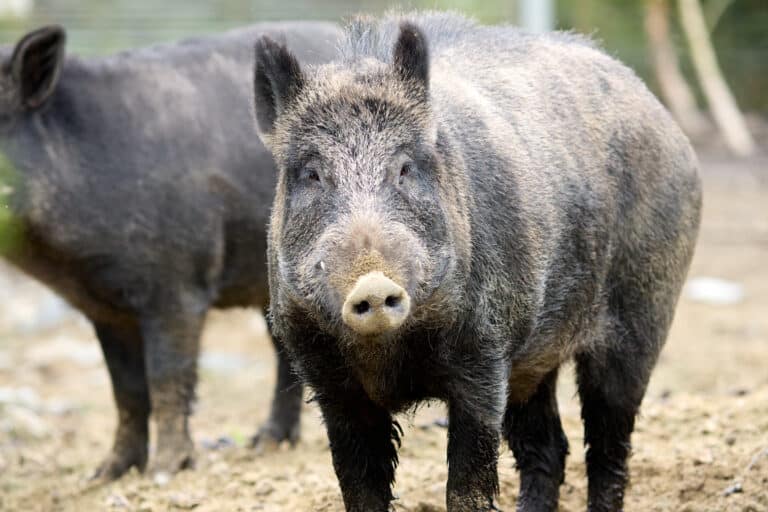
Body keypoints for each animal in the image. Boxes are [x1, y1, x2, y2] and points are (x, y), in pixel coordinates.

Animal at [0, 22, 340, 480]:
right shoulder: (105, 309)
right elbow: (126, 390)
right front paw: (106, 473)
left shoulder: (176, 283)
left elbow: (166, 376)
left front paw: (165, 470)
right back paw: (264, 443)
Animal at [252, 12, 702, 512]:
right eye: (311, 174)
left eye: (406, 167)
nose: (372, 284)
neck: (387, 354)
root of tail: (667, 122)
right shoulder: (327, 379)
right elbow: (359, 488)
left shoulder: (485, 355)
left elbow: (467, 483)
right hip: (532, 360)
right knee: (549, 447)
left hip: (642, 315)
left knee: (608, 445)